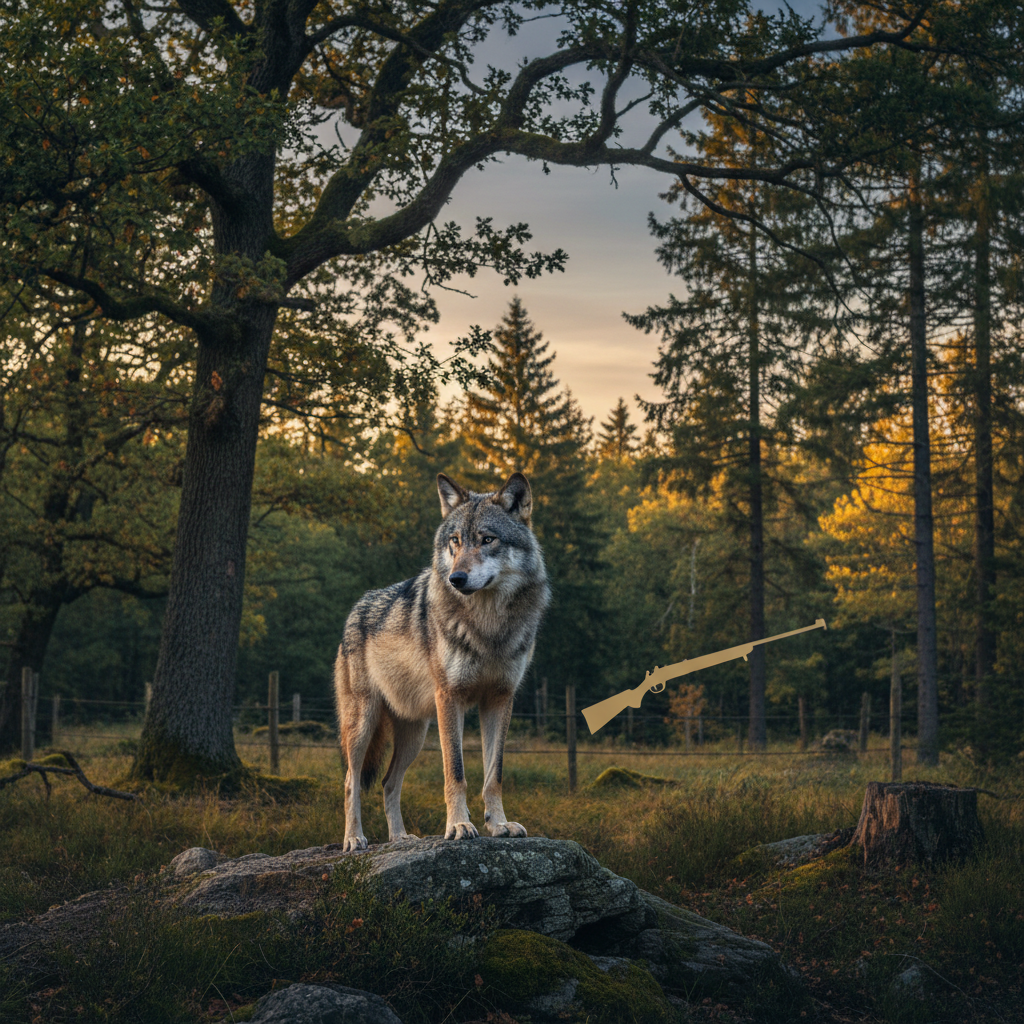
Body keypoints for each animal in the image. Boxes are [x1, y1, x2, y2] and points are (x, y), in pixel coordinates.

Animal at [334, 471, 549, 851]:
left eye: (487, 539)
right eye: (455, 541)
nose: (456, 578)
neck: (488, 626)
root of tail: (357, 606)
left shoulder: (500, 699)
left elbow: (494, 774)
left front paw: (499, 825)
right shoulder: (450, 698)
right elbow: (456, 772)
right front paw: (459, 826)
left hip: (415, 735)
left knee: (389, 782)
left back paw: (400, 838)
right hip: (362, 725)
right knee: (351, 780)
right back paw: (355, 839)